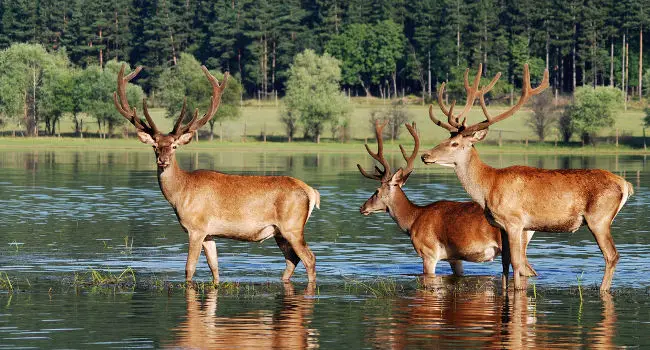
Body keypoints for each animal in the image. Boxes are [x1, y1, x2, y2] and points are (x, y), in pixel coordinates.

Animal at [112, 65, 318, 284]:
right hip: (280, 232)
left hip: (292, 226)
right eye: (155, 146)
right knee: (292, 260)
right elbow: (214, 267)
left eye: (174, 146)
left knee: (309, 258)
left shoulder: (196, 228)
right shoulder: (209, 234)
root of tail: (311, 191)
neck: (180, 193)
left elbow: (189, 268)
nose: (163, 160)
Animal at [418, 63, 632, 292]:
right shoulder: (501, 226)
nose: (425, 155)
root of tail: (625, 184)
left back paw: (603, 289)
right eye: (445, 139)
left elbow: (517, 263)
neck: (488, 187)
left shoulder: (515, 221)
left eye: (455, 144)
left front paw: (519, 291)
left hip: (599, 218)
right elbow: (504, 263)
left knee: (611, 255)